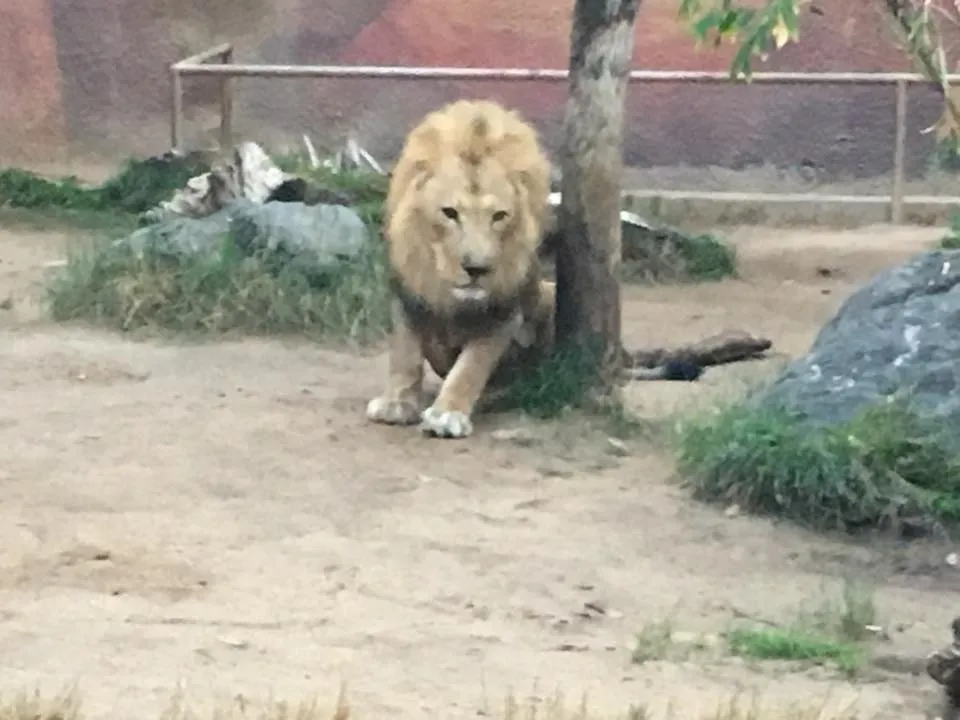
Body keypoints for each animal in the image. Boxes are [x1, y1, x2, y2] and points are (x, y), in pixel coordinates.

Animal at [364, 99, 552, 438]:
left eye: (499, 216)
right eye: (450, 213)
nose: (476, 269)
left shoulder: (503, 311)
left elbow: (471, 366)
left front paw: (447, 413)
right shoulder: (407, 290)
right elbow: (405, 352)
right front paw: (396, 403)